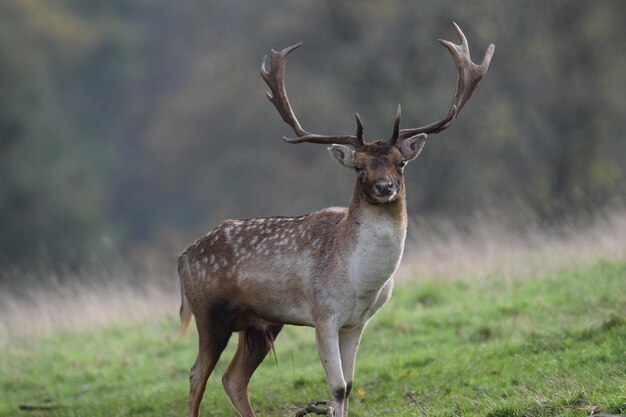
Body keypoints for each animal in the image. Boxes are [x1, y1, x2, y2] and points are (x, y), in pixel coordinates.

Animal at [177, 22, 492, 416]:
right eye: (359, 167)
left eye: (400, 163)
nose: (385, 187)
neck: (359, 283)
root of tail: (182, 257)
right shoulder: (323, 315)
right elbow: (338, 386)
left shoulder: (357, 323)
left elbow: (351, 384)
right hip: (210, 314)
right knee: (196, 375)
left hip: (261, 323)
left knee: (232, 378)